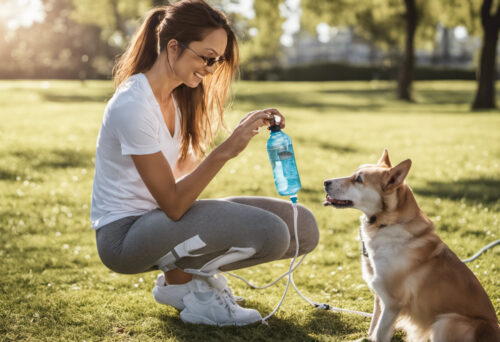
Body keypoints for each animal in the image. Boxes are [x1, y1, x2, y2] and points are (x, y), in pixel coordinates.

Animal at [322, 150, 498, 342]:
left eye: (359, 179)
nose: (325, 182)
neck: (385, 225)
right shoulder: (379, 297)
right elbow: (373, 328)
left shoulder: (392, 302)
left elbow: (380, 332)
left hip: (446, 321)